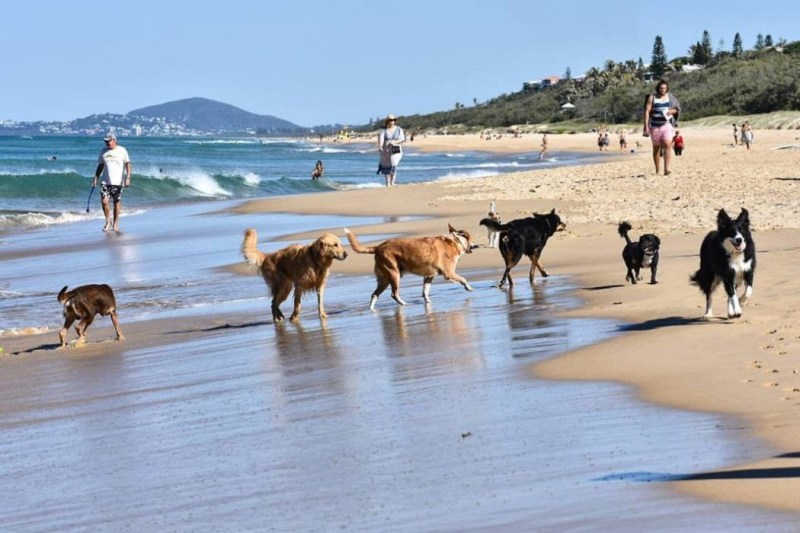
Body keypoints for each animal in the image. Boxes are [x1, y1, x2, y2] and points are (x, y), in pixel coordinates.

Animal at [344, 223, 476, 308]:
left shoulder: (429, 276)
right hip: (394, 274)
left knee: (374, 295)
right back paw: (404, 304)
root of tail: (378, 247)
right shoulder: (449, 273)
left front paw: (428, 302)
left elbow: (425, 291)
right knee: (394, 294)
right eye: (472, 239)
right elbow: (463, 279)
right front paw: (469, 288)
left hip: (384, 279)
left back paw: (372, 309)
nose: (475, 245)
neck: (456, 241)